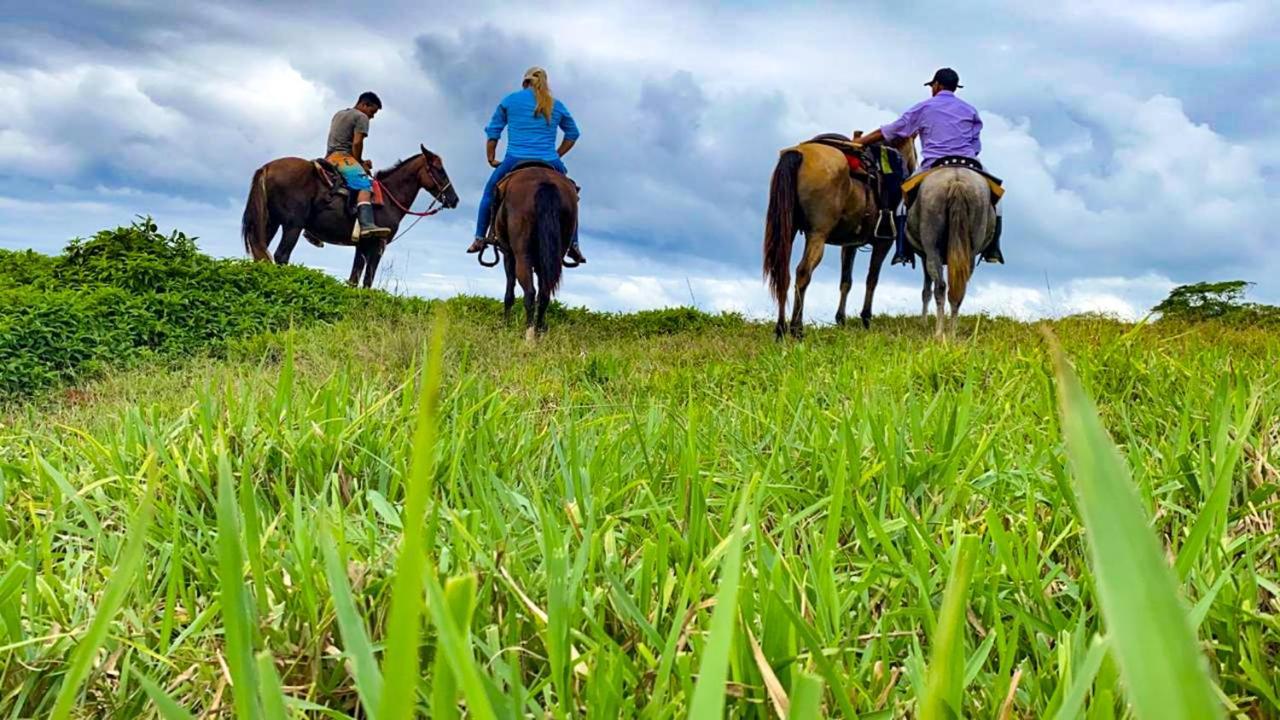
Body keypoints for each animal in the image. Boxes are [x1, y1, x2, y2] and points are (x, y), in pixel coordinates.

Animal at [240, 144, 460, 286]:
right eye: (439, 170)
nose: (454, 199)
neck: (390, 196)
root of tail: (267, 167)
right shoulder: (378, 245)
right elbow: (368, 280)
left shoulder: (361, 246)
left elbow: (354, 279)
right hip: (293, 226)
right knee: (281, 255)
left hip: (270, 223)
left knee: (261, 253)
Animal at [491, 165, 578, 338]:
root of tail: (545, 183)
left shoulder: (508, 254)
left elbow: (509, 291)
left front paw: (505, 325)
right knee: (544, 295)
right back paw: (538, 333)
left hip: (521, 255)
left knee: (530, 292)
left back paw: (529, 335)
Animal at [757, 135, 911, 338]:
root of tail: (799, 153)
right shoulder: (883, 242)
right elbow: (872, 279)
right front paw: (866, 319)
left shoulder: (850, 244)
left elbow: (846, 281)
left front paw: (841, 320)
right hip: (817, 235)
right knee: (803, 272)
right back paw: (797, 329)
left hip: (787, 232)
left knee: (783, 273)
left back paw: (780, 330)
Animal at [906, 166, 993, 338]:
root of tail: (956, 179)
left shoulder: (924, 257)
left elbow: (926, 291)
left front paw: (923, 322)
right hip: (970, 252)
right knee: (958, 289)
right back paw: (952, 333)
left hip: (932, 249)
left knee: (940, 286)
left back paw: (939, 333)